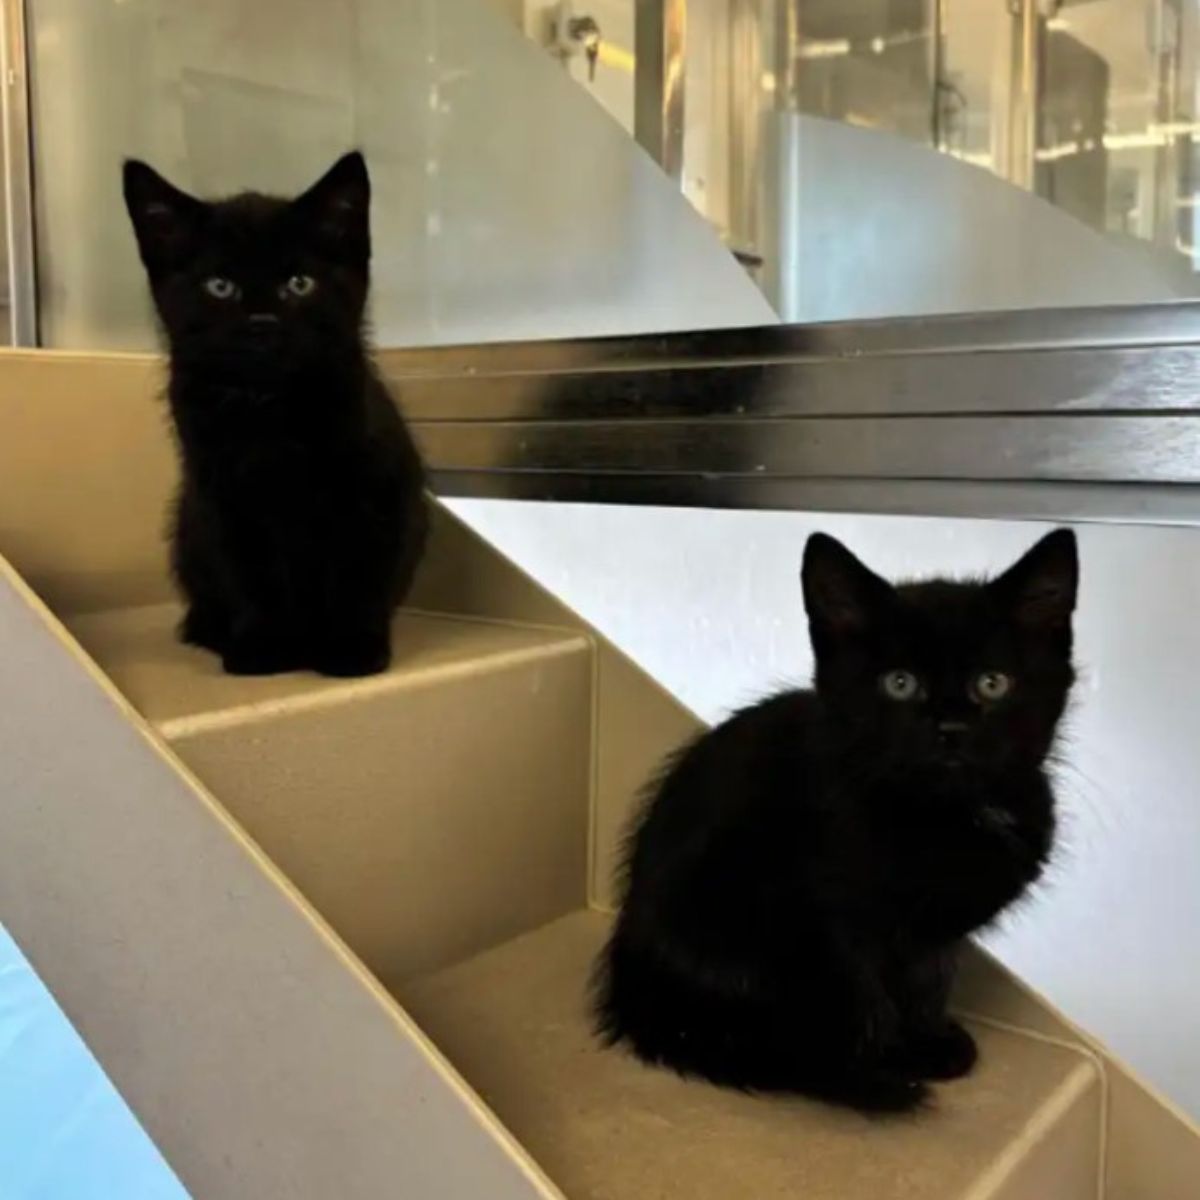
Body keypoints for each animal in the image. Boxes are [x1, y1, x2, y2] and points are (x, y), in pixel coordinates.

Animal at [123, 152, 427, 676]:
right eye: (220, 286)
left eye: (299, 283)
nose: (262, 323)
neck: (268, 407)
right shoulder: (221, 496)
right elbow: (249, 572)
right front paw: (262, 645)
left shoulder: (373, 489)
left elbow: (356, 568)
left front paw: (352, 647)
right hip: (185, 521)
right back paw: (210, 629)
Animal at [597, 530, 1080, 1108]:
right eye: (899, 683)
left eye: (992, 683)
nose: (951, 728)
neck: (943, 813)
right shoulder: (833, 921)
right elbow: (868, 996)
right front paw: (893, 1058)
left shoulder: (932, 935)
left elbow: (931, 976)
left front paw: (930, 1038)